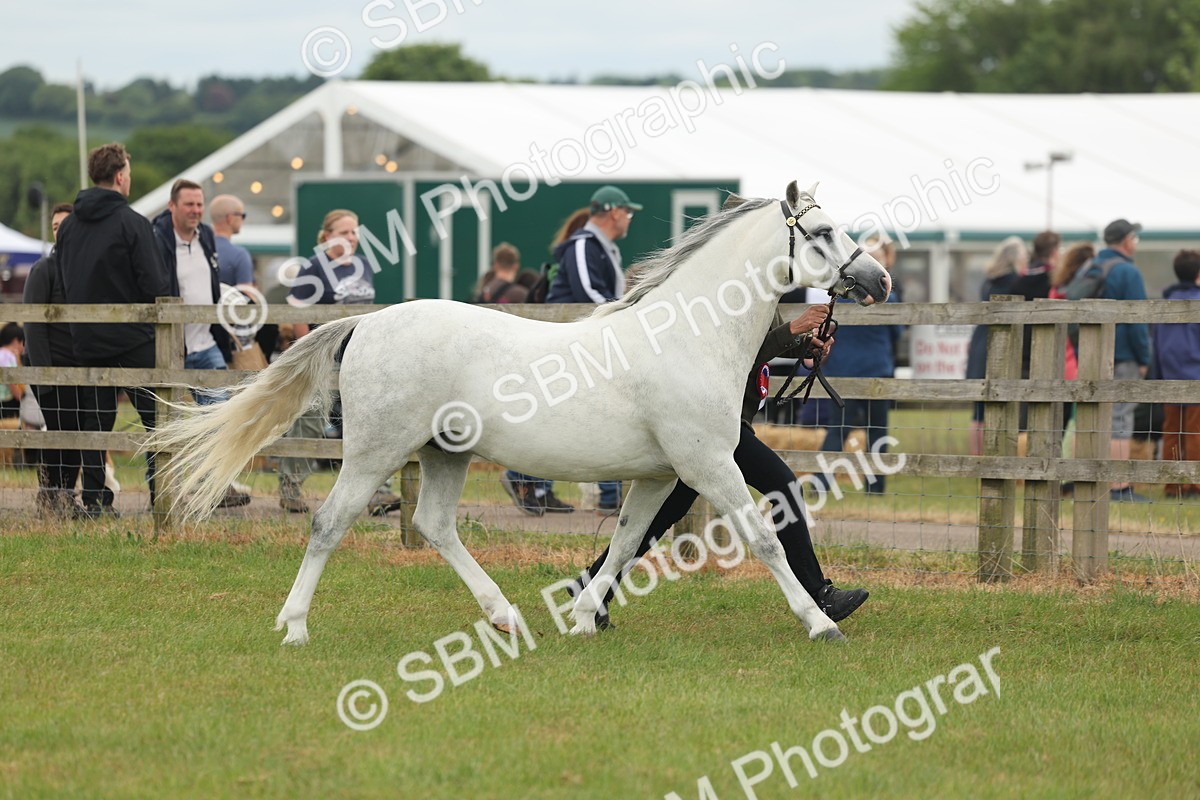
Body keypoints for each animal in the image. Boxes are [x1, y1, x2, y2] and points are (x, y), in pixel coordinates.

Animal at [147, 180, 891, 646]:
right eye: (824, 231)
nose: (879, 279)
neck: (686, 336)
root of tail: (367, 322)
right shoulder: (708, 464)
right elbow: (764, 537)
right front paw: (822, 623)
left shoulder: (659, 475)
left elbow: (626, 539)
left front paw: (585, 615)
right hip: (374, 452)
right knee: (331, 524)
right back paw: (296, 626)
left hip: (444, 453)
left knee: (434, 525)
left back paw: (505, 616)